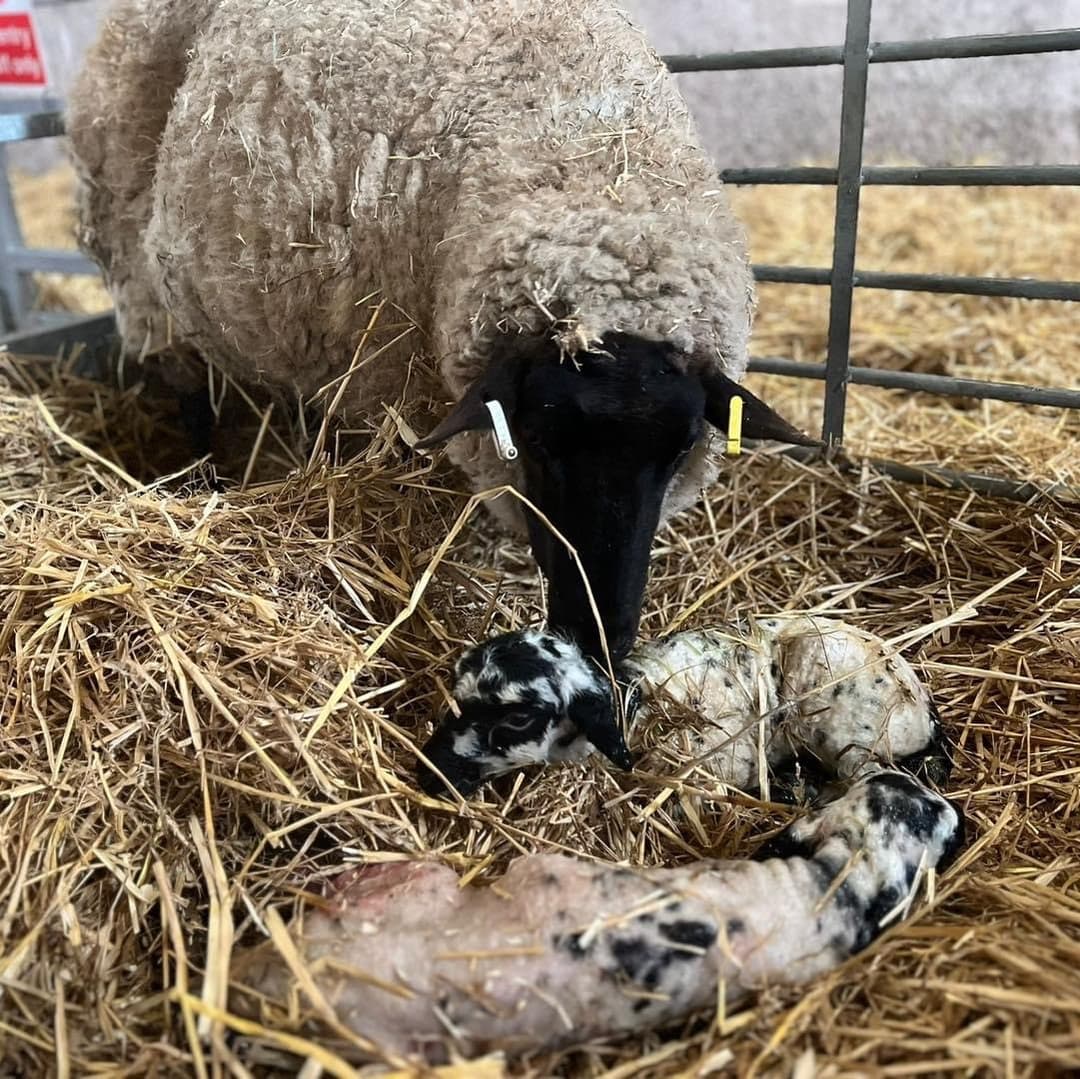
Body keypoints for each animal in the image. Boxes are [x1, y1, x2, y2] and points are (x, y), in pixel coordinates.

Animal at [67, 0, 815, 666]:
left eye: (684, 444)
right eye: (536, 438)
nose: (595, 640)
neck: (587, 159)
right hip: (143, 278)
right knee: (188, 385)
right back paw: (206, 476)